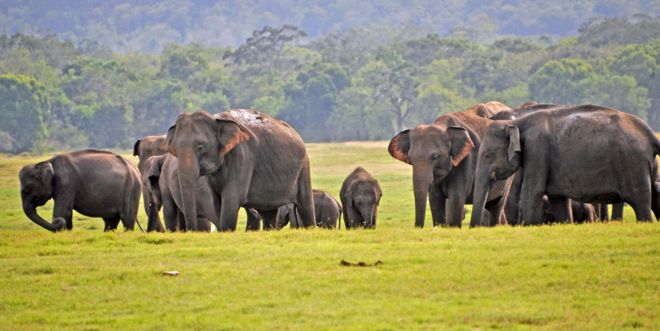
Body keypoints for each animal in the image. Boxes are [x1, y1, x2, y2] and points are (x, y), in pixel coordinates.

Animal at [168, 110, 318, 232]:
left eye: (200, 147)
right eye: (175, 149)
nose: (191, 230)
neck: (215, 118)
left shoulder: (243, 157)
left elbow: (231, 198)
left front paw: (226, 231)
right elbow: (216, 202)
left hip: (304, 167)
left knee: (305, 206)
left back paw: (310, 228)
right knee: (268, 213)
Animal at [472, 105, 656, 227]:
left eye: (487, 155)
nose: (473, 228)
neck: (518, 122)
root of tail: (650, 134)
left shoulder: (537, 149)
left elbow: (532, 192)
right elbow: (558, 199)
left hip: (632, 165)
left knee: (640, 203)